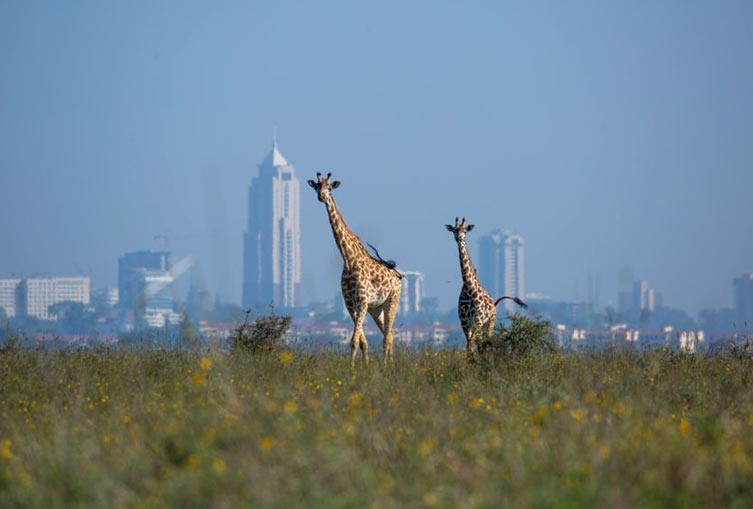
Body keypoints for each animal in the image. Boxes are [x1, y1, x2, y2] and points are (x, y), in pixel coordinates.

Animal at [306, 173, 402, 364]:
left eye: (330, 187)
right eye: (317, 186)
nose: (321, 197)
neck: (349, 259)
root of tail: (398, 276)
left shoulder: (362, 301)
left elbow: (354, 340)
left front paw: (353, 368)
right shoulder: (350, 303)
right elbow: (361, 341)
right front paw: (363, 366)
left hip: (392, 300)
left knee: (388, 336)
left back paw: (387, 365)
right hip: (376, 308)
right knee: (390, 334)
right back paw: (390, 363)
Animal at [444, 216, 524, 356]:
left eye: (465, 231)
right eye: (454, 230)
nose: (459, 238)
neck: (469, 287)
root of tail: (494, 303)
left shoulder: (478, 320)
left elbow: (470, 346)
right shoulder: (464, 322)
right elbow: (469, 347)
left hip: (490, 322)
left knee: (486, 342)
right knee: (480, 344)